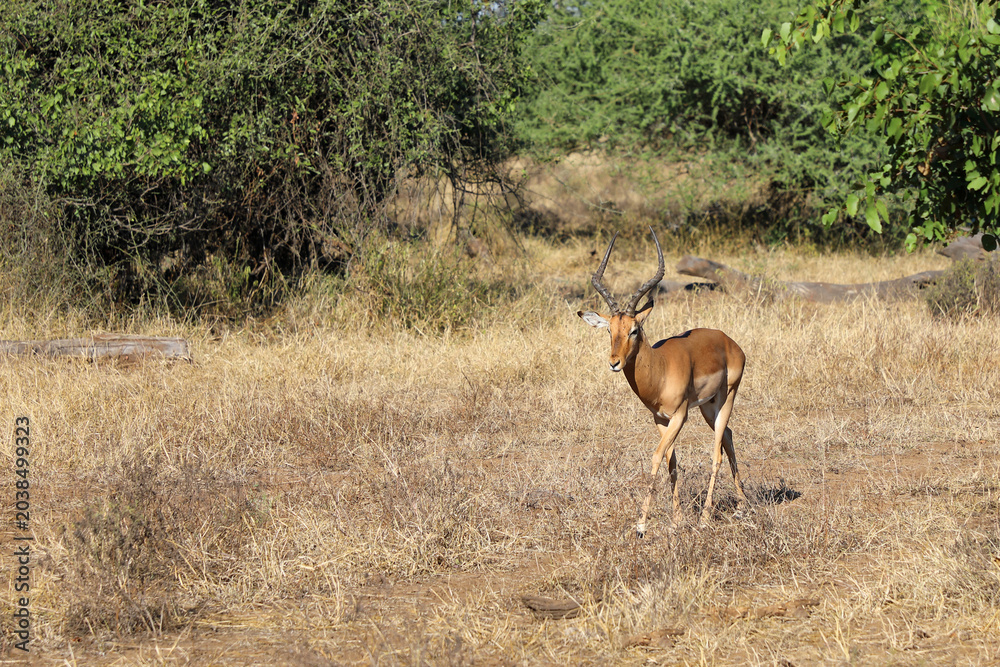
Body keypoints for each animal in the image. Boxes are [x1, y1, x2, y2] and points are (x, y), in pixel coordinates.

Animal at [577, 227, 750, 536]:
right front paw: (676, 520)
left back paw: (706, 518)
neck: (660, 369)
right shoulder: (660, 418)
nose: (614, 362)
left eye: (635, 329)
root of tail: (730, 342)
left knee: (716, 452)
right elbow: (672, 461)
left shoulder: (680, 415)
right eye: (609, 330)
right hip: (708, 407)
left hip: (727, 397)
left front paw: (641, 524)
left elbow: (657, 457)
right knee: (728, 436)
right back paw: (742, 507)